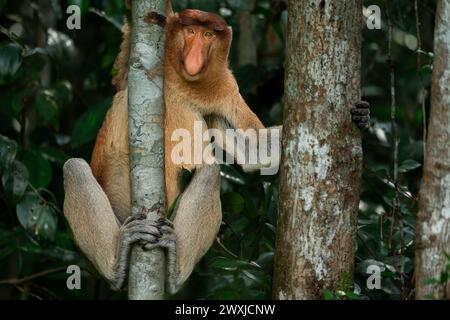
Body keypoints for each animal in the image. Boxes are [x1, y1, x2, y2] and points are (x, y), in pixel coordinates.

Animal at [61, 0, 370, 296]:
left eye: (208, 35)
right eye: (191, 31)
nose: (195, 56)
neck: (183, 79)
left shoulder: (224, 88)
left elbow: (255, 149)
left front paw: (360, 117)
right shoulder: (136, 57)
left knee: (210, 171)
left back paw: (174, 270)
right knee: (74, 167)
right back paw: (117, 265)